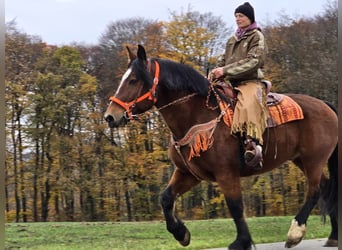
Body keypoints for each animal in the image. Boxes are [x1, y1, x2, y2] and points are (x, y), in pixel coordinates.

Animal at [103, 45, 338, 250]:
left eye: (133, 80)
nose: (110, 116)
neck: (198, 115)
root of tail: (325, 105)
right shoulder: (188, 173)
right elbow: (166, 198)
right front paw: (181, 233)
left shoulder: (226, 173)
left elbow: (235, 206)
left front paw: (241, 242)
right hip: (301, 160)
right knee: (327, 188)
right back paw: (333, 236)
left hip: (313, 160)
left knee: (315, 190)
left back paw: (294, 234)